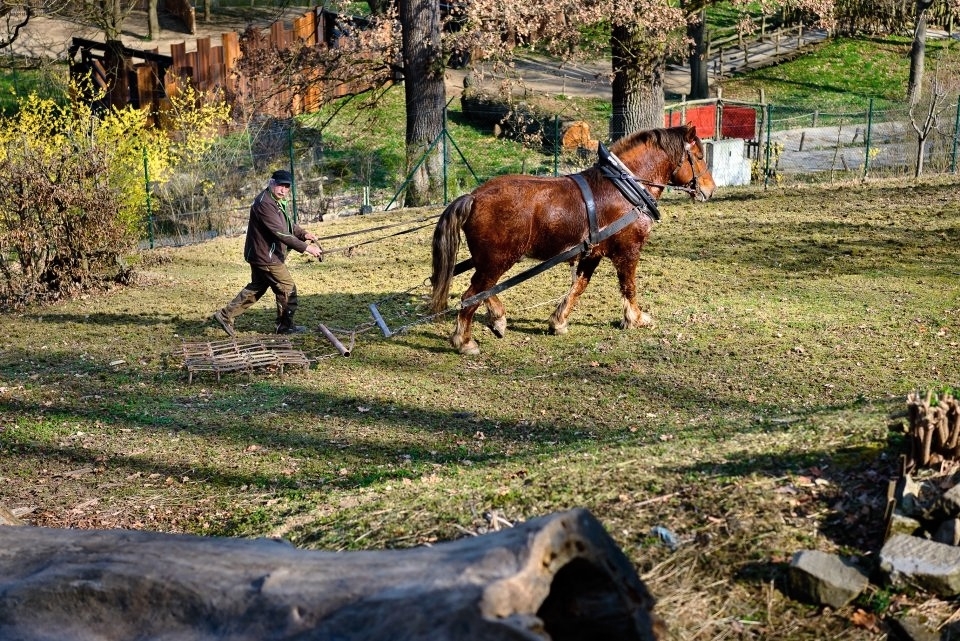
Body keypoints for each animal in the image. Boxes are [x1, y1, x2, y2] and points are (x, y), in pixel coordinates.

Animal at [428, 124, 712, 356]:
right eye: (699, 157)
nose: (710, 189)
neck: (626, 188)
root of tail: (474, 197)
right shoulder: (629, 250)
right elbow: (629, 286)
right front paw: (636, 318)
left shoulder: (592, 253)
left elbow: (579, 287)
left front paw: (559, 321)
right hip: (497, 260)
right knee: (473, 294)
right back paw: (465, 341)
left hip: (490, 260)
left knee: (485, 289)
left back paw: (497, 318)